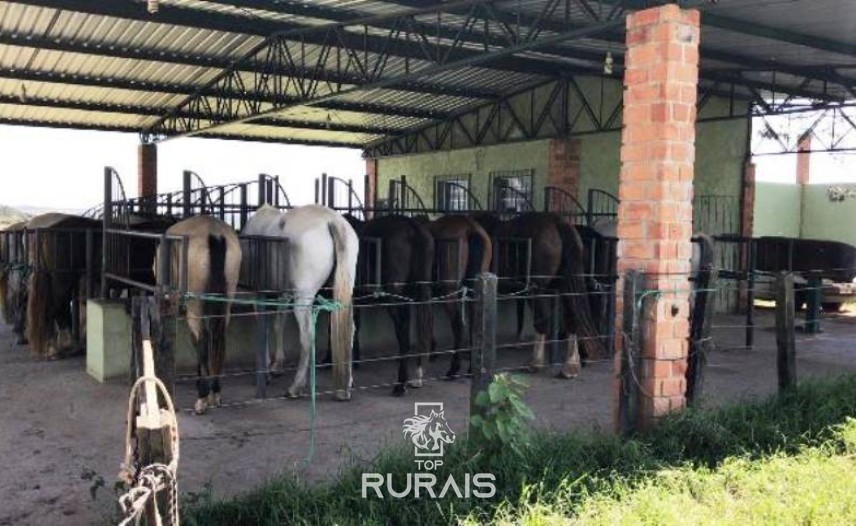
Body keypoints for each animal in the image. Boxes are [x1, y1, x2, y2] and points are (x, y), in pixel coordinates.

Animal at [157, 216, 241, 416]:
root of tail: (215, 235)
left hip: (196, 309)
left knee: (202, 343)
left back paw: (202, 398)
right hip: (224, 306)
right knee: (218, 340)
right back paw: (215, 392)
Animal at [241, 204, 358, 402]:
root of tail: (333, 221)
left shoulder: (258, 296)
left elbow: (264, 329)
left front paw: (266, 371)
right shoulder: (284, 294)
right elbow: (278, 323)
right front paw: (276, 366)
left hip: (302, 301)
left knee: (307, 336)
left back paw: (295, 387)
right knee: (349, 330)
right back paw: (346, 385)